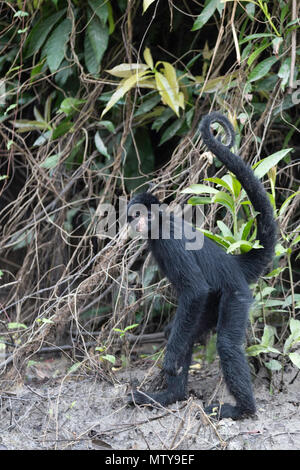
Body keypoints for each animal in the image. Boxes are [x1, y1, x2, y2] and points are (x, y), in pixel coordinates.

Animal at [126, 112, 276, 420]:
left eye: (144, 215)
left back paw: (243, 409)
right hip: (214, 302)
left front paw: (170, 361)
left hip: (235, 294)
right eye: (134, 215)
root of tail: (234, 263)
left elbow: (194, 290)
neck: (160, 225)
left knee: (227, 344)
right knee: (184, 331)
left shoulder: (169, 241)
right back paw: (170, 396)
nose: (139, 222)